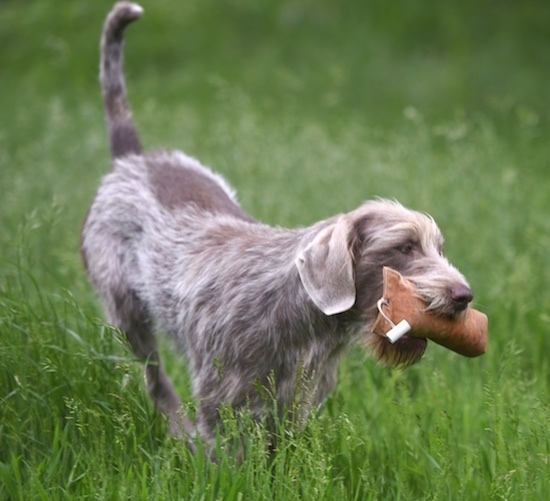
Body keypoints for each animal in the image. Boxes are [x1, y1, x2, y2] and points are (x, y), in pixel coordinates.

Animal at [82, 1, 474, 452]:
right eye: (405, 247)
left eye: (438, 248)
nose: (465, 296)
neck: (304, 318)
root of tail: (132, 158)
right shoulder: (223, 400)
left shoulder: (294, 405)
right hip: (128, 317)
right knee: (155, 379)